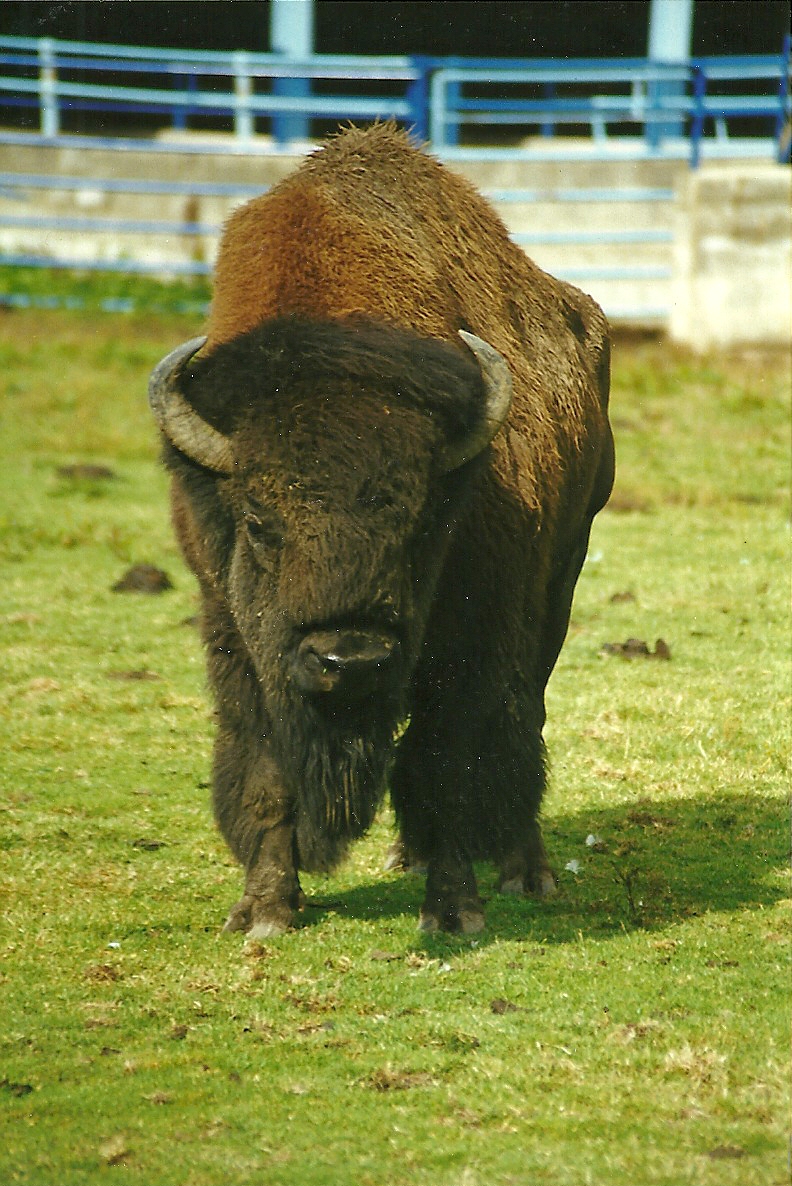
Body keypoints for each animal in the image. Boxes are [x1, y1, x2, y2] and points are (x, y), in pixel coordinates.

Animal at [149, 123, 614, 936]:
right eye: (258, 522)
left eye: (423, 523)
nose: (352, 659)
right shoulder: (236, 638)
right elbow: (266, 771)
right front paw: (265, 910)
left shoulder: (472, 639)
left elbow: (450, 760)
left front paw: (455, 912)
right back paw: (411, 856)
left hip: (561, 576)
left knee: (523, 722)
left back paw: (526, 872)